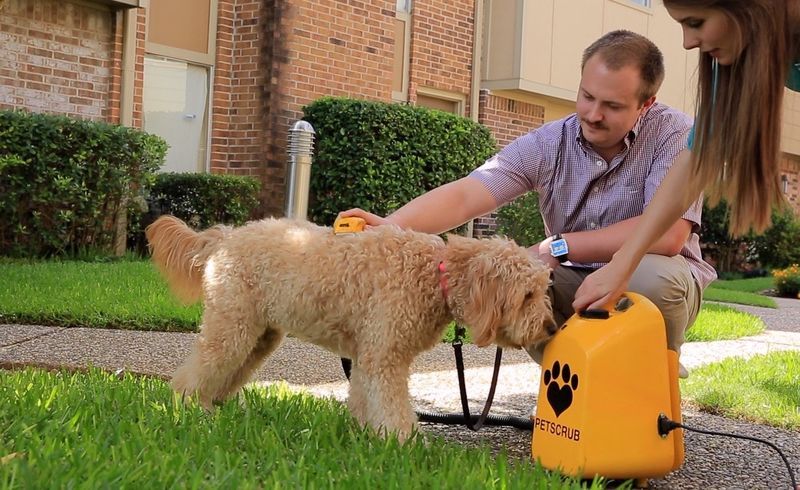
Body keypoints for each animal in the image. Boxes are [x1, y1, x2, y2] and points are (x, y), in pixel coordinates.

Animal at [145, 215, 556, 440]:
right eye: (527, 295)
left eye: (543, 290)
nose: (551, 327)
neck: (433, 273)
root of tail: (224, 236)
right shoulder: (384, 358)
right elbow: (392, 407)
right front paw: (407, 445)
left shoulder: (367, 356)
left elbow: (362, 398)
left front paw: (366, 437)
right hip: (232, 326)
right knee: (194, 373)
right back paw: (191, 409)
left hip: (259, 335)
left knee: (227, 374)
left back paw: (215, 407)